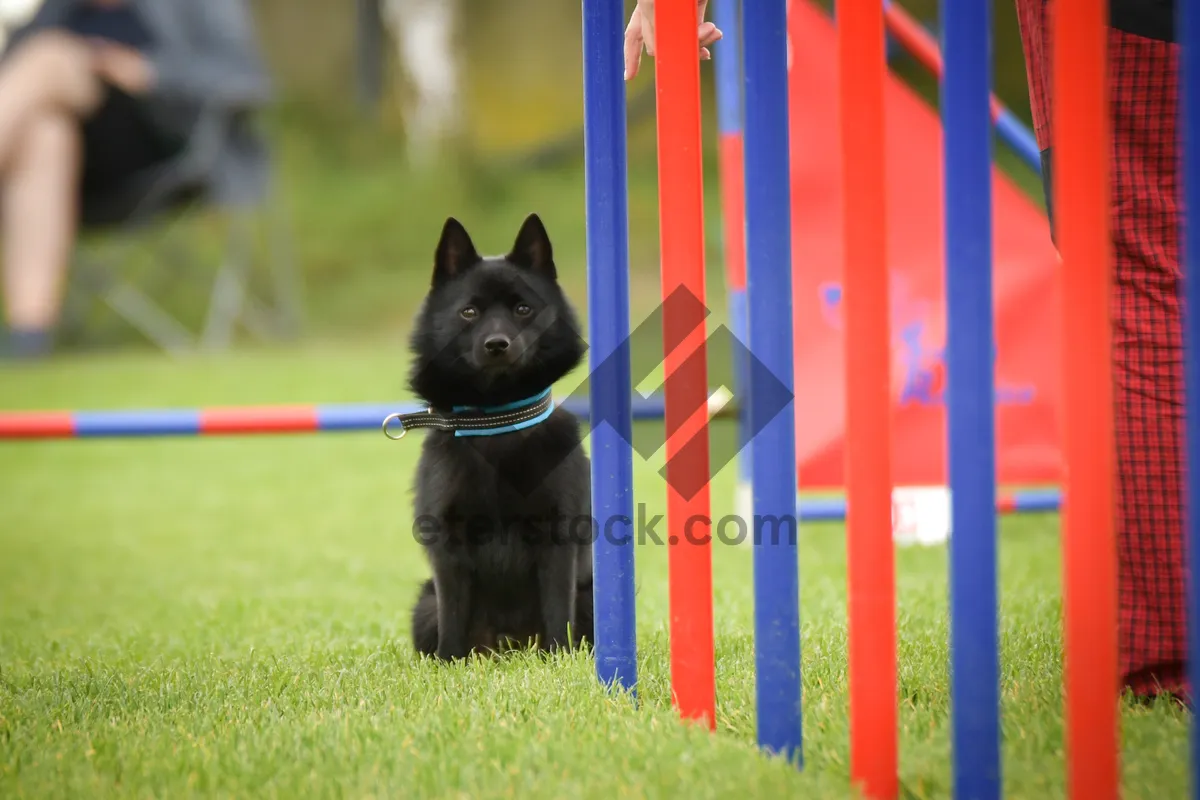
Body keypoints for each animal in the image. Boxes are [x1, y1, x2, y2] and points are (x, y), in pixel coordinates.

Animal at [405, 214, 592, 662]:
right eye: (469, 311)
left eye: (523, 309)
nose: (497, 345)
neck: (496, 423)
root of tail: (510, 647)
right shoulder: (448, 548)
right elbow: (453, 616)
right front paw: (449, 664)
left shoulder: (559, 540)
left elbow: (557, 610)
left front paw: (559, 660)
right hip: (424, 605)